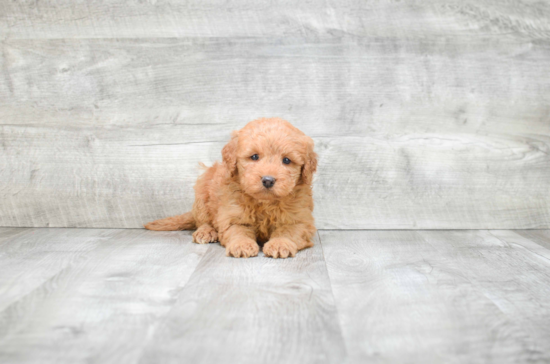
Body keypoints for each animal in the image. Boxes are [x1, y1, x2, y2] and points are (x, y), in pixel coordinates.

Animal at [144, 117, 320, 258]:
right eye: (254, 157)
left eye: (287, 160)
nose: (268, 180)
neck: (264, 203)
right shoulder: (232, 214)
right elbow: (237, 230)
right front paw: (242, 245)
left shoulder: (300, 219)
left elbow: (289, 231)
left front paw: (280, 243)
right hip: (202, 193)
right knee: (203, 220)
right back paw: (206, 232)